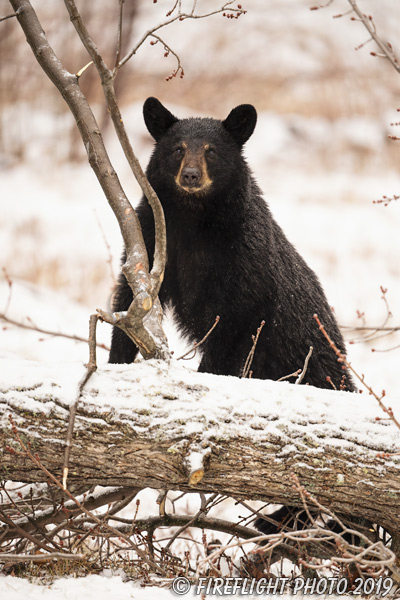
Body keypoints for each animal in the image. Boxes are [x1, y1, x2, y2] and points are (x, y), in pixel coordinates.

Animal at [108, 96, 354, 392]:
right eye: (178, 149)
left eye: (211, 151)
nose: (190, 175)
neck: (194, 217)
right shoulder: (153, 233)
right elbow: (132, 295)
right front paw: (116, 358)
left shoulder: (243, 252)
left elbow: (233, 322)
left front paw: (209, 372)